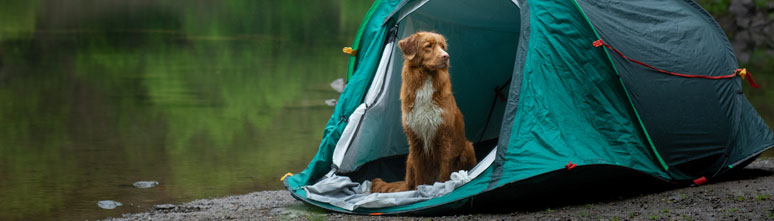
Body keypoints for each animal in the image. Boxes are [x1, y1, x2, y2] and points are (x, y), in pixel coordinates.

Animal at [372, 31, 478, 193]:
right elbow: (419, 175)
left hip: (468, 147)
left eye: (443, 47)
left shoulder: (444, 137)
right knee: (409, 184)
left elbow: (444, 173)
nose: (446, 56)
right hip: (409, 158)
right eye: (429, 46)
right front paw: (419, 191)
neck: (426, 79)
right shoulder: (415, 140)